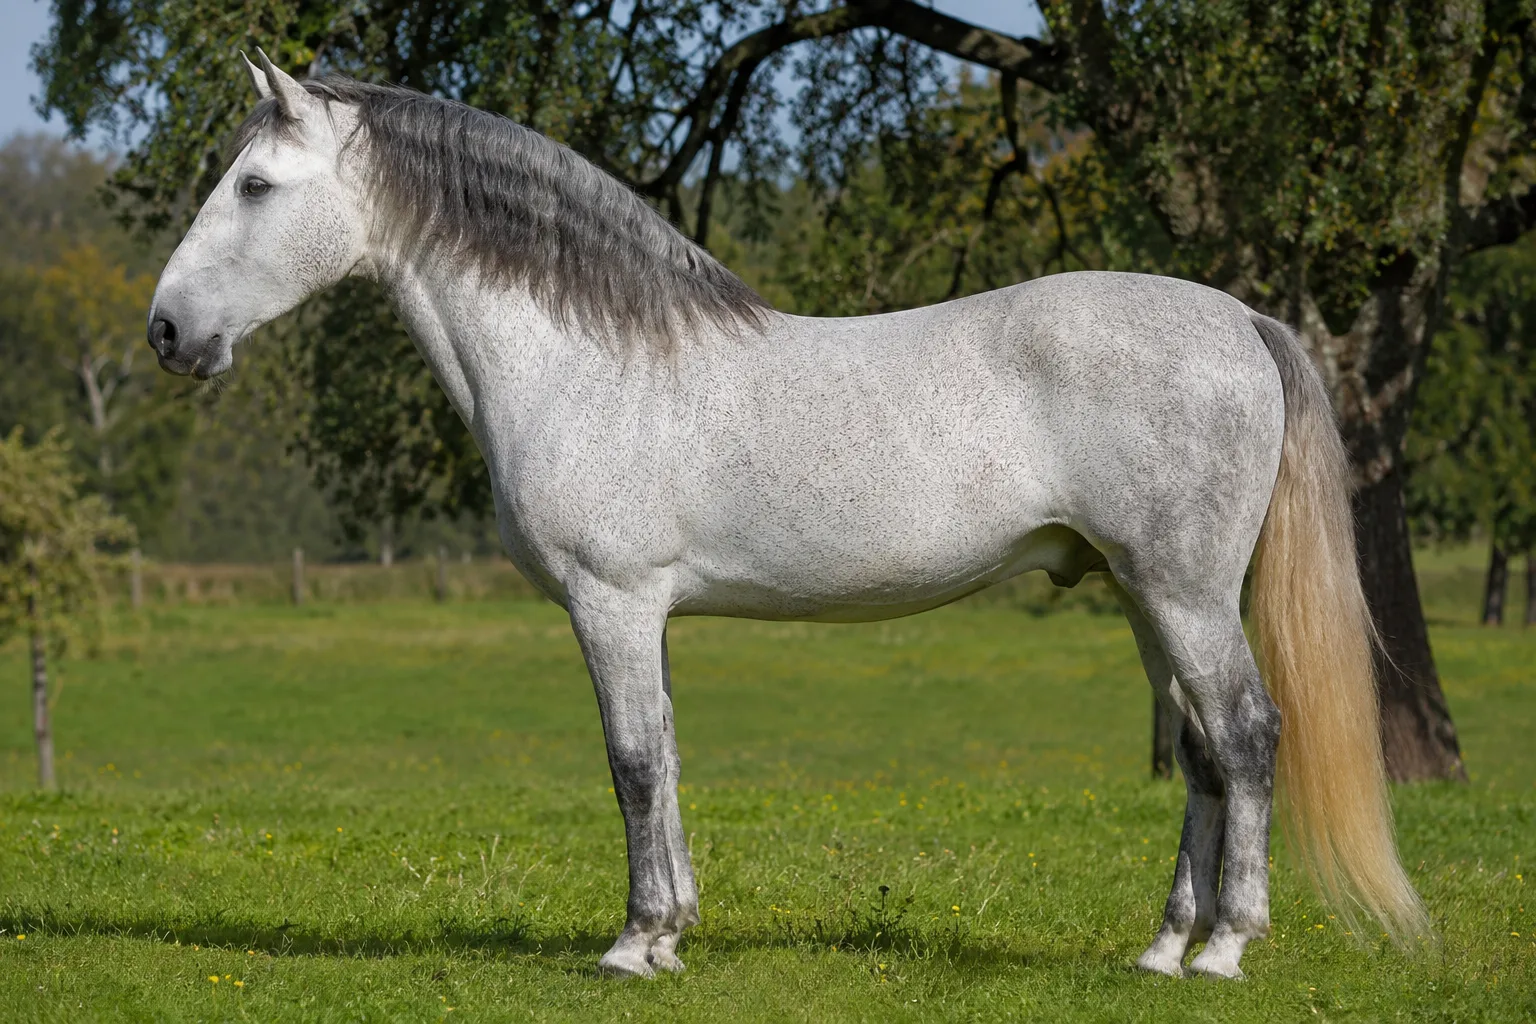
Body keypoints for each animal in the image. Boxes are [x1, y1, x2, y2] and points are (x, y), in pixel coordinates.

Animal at [148, 50, 1426, 980]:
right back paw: (1161, 948)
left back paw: (1223, 950)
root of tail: (1240, 319)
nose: (167, 332)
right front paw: (670, 931)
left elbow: (630, 759)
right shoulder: (645, 610)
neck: (591, 359)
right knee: (1205, 750)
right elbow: (665, 750)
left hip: (1185, 589)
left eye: (253, 186)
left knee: (1248, 735)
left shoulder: (611, 602)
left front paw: (631, 944)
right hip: (1144, 592)